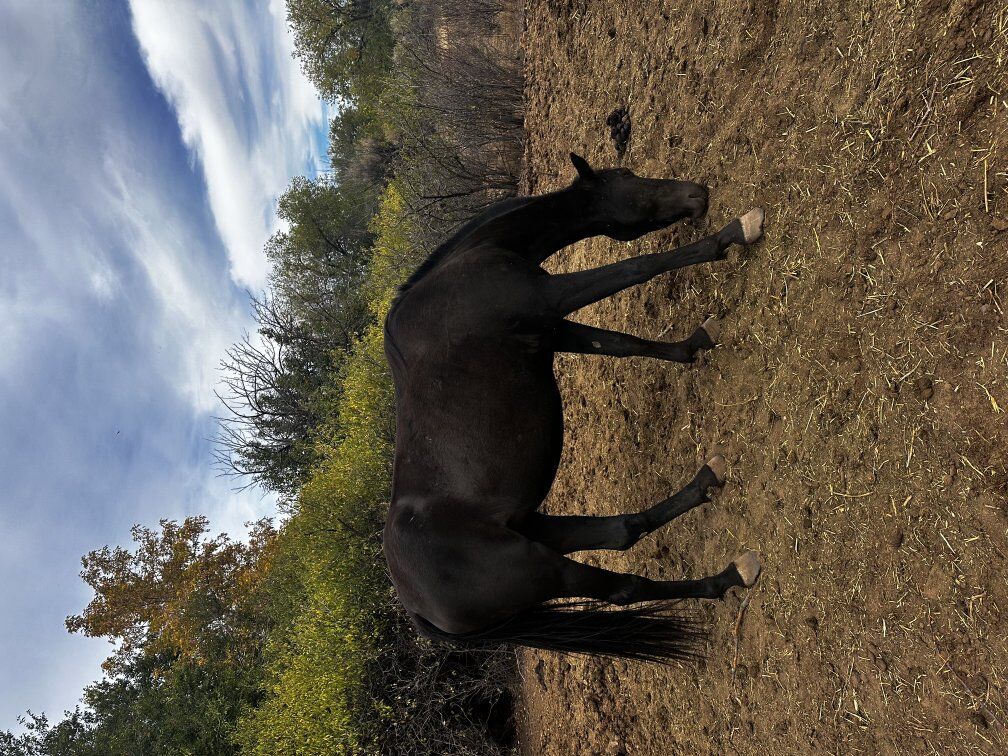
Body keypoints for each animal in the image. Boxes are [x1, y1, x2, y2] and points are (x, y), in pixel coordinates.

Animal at [382, 153, 765, 663]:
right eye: (626, 177)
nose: (696, 193)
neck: (467, 268)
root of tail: (419, 612)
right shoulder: (552, 298)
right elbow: (640, 266)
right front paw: (733, 233)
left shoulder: (554, 328)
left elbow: (622, 344)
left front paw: (693, 345)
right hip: (545, 568)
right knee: (626, 587)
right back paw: (726, 577)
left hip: (538, 528)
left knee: (622, 531)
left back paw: (707, 481)